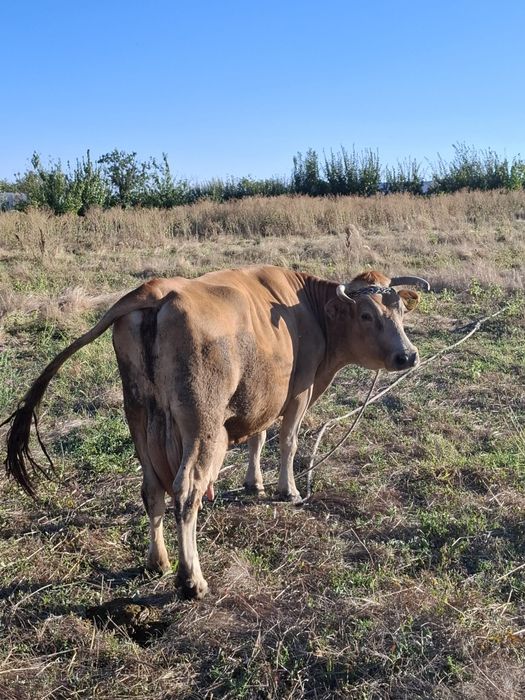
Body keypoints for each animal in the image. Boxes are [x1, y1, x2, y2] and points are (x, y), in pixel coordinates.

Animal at [3, 265, 429, 599]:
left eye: (399, 310)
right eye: (366, 316)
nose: (407, 355)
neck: (308, 312)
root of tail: (156, 291)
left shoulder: (263, 395)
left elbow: (258, 438)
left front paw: (253, 483)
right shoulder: (298, 392)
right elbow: (287, 443)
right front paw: (287, 490)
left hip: (139, 416)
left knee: (152, 490)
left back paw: (158, 562)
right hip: (203, 425)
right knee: (186, 491)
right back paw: (191, 579)